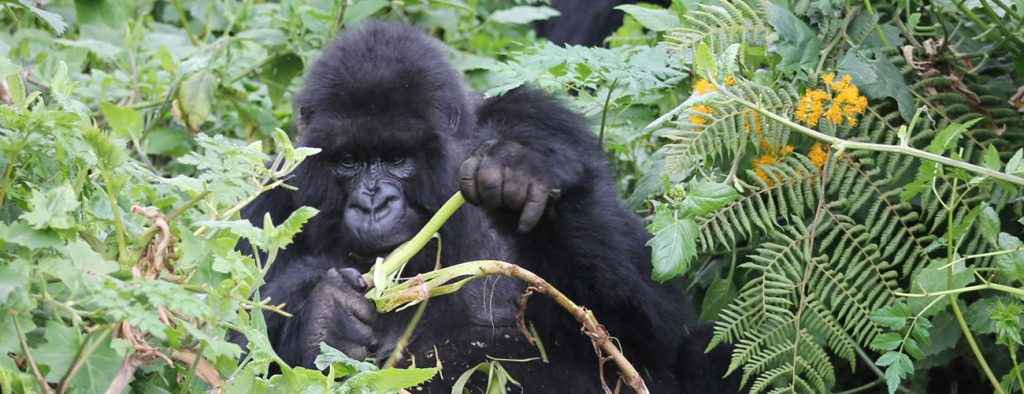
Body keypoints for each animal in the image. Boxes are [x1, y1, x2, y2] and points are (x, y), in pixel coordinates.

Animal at [240, 22, 737, 392]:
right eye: (349, 161)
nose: (374, 203)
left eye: (397, 158)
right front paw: (328, 316)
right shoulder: (272, 191)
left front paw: (524, 173)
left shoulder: (539, 121)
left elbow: (646, 331)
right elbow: (239, 344)